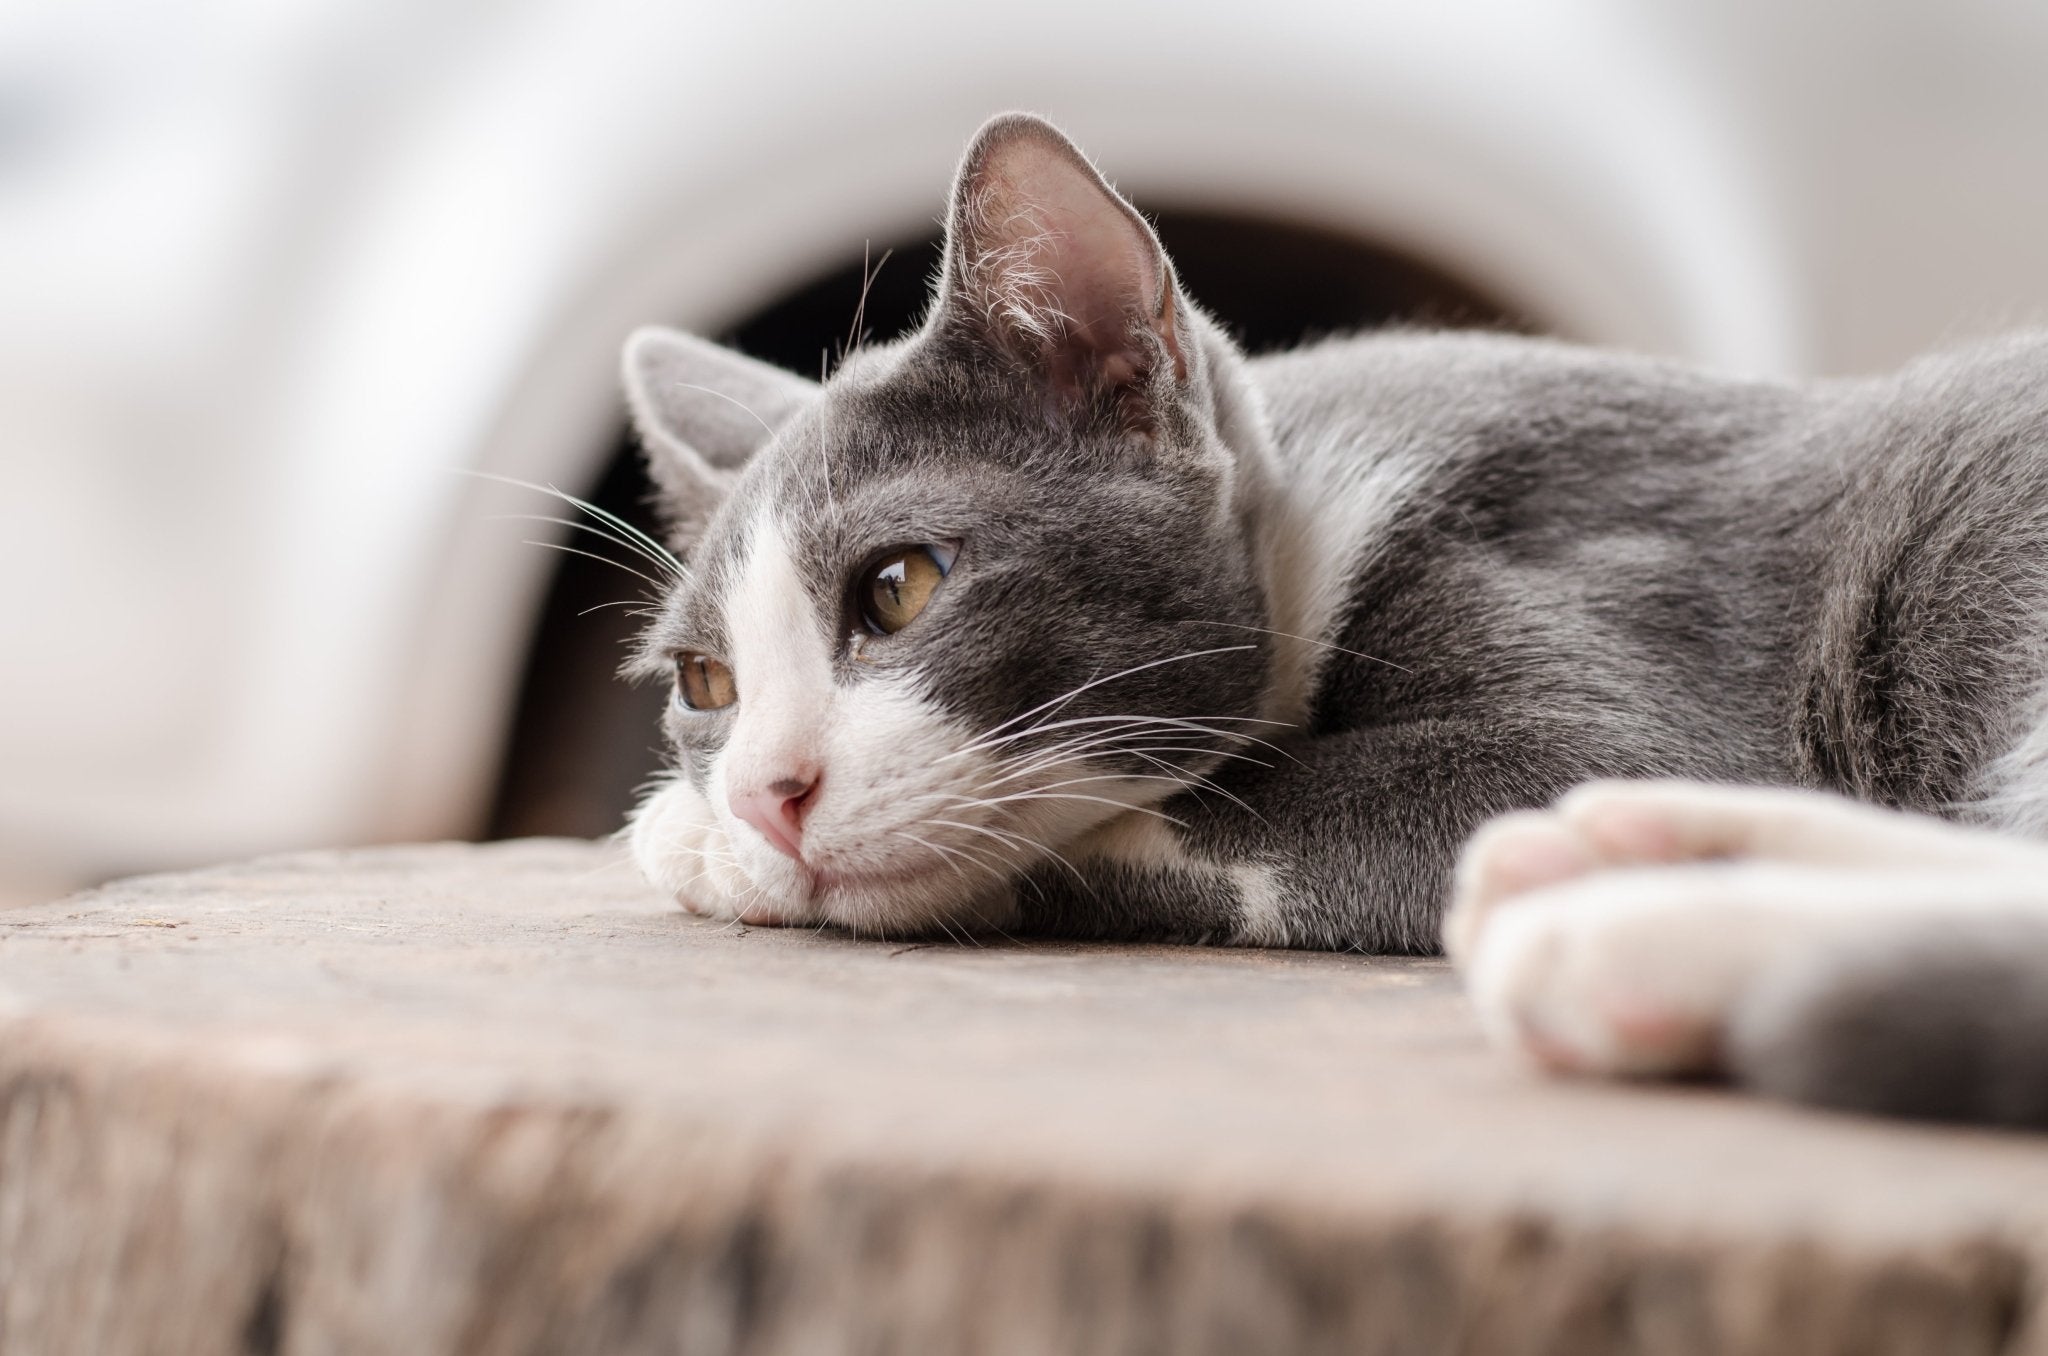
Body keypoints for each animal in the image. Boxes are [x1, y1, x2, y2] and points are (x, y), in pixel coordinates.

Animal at [614, 116, 2048, 1130]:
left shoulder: (1606, 622)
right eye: (704, 683)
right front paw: (705, 825)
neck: (1304, 526)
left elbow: (1183, 814)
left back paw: (1648, 937)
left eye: (900, 585)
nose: (766, 796)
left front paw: (695, 840)